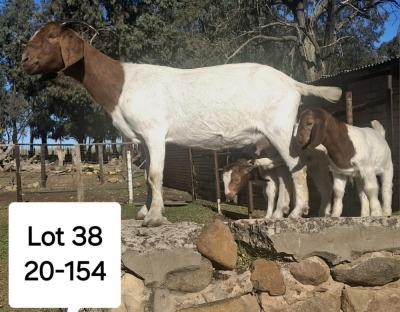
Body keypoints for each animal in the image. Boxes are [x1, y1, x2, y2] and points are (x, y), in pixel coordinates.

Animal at [20, 21, 342, 227]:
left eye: (51, 36)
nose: (24, 59)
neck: (122, 83)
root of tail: (292, 83)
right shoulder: (143, 139)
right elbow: (148, 178)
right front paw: (144, 213)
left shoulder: (154, 132)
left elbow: (154, 175)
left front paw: (153, 219)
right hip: (270, 137)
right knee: (284, 172)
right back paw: (280, 215)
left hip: (280, 127)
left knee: (296, 166)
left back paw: (296, 214)